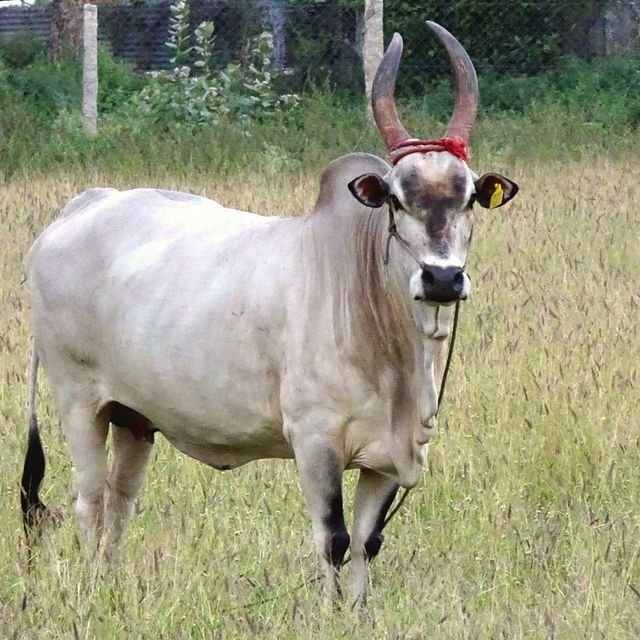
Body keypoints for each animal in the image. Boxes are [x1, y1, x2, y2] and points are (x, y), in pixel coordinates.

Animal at [21, 22, 518, 607]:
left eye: (469, 198)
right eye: (397, 200)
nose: (443, 278)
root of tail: (82, 206)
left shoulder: (389, 458)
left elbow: (366, 542)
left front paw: (357, 611)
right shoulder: (315, 441)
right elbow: (333, 539)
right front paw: (327, 613)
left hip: (134, 418)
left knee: (120, 502)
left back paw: (111, 584)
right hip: (78, 400)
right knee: (90, 500)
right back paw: (94, 590)